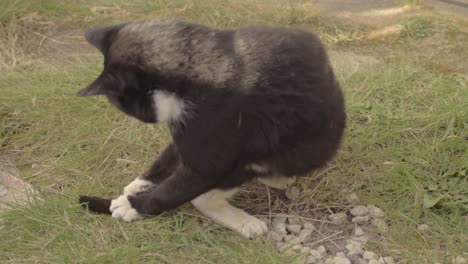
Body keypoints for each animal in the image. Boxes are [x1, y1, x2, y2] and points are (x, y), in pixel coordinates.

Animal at [77, 18, 348, 237]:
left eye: (124, 104)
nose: (145, 119)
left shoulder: (211, 148)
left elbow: (173, 190)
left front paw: (132, 206)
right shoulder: (186, 134)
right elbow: (169, 156)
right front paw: (139, 184)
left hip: (258, 158)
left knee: (205, 198)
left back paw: (249, 218)